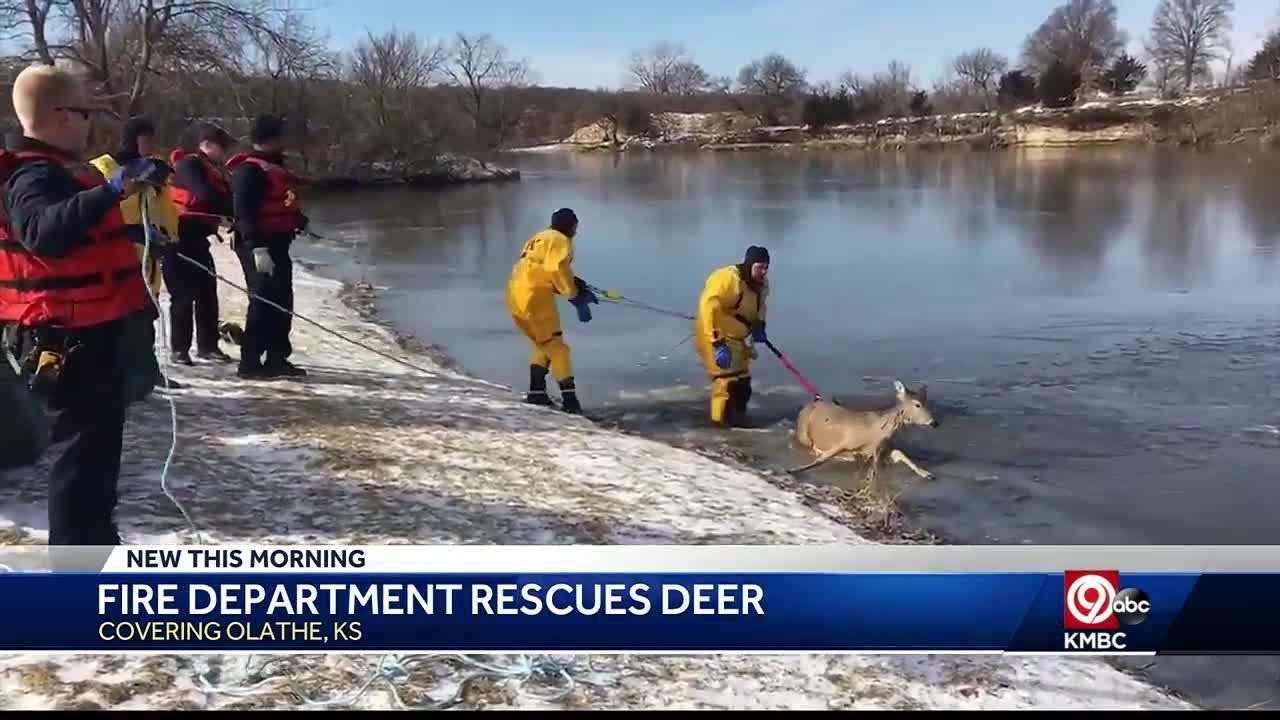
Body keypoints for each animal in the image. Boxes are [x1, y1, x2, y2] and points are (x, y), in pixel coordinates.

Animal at [788, 380, 940, 483]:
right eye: (917, 404)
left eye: (927, 403)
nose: (934, 423)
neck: (875, 432)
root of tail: (809, 404)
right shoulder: (844, 442)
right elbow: (820, 460)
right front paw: (793, 470)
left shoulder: (882, 448)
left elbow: (901, 455)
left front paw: (927, 473)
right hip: (803, 435)